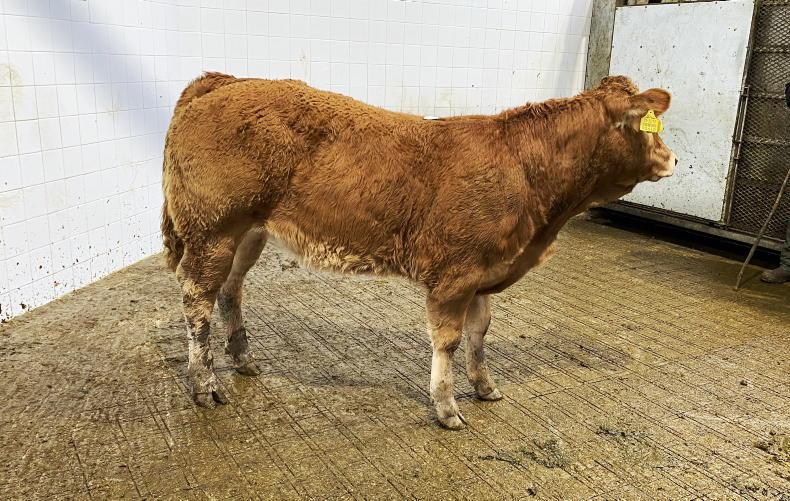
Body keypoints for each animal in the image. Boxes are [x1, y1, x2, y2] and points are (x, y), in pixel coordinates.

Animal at [161, 73, 675, 429]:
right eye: (646, 127)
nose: (672, 158)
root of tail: (227, 80)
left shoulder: (485, 270)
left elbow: (480, 333)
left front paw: (484, 386)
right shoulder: (455, 274)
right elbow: (447, 340)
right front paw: (446, 408)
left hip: (249, 231)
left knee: (230, 290)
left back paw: (243, 359)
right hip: (213, 229)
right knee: (197, 298)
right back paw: (205, 385)